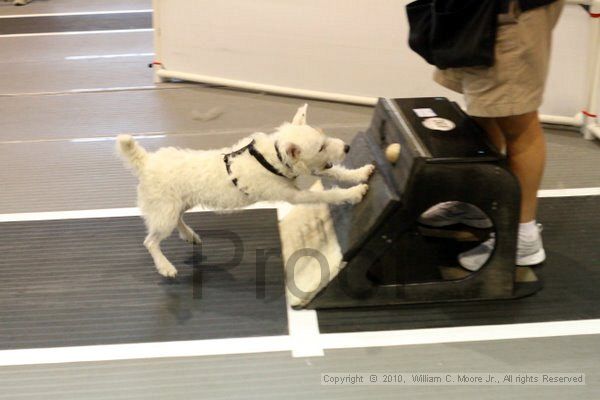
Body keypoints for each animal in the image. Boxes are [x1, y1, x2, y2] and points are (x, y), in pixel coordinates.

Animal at [117, 104, 372, 276]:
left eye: (325, 136)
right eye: (320, 147)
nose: (347, 147)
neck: (273, 157)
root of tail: (145, 162)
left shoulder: (308, 172)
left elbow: (336, 172)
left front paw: (361, 173)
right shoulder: (295, 194)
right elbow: (326, 193)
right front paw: (353, 193)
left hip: (177, 206)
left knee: (177, 221)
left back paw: (189, 235)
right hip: (164, 213)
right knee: (151, 242)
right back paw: (165, 266)